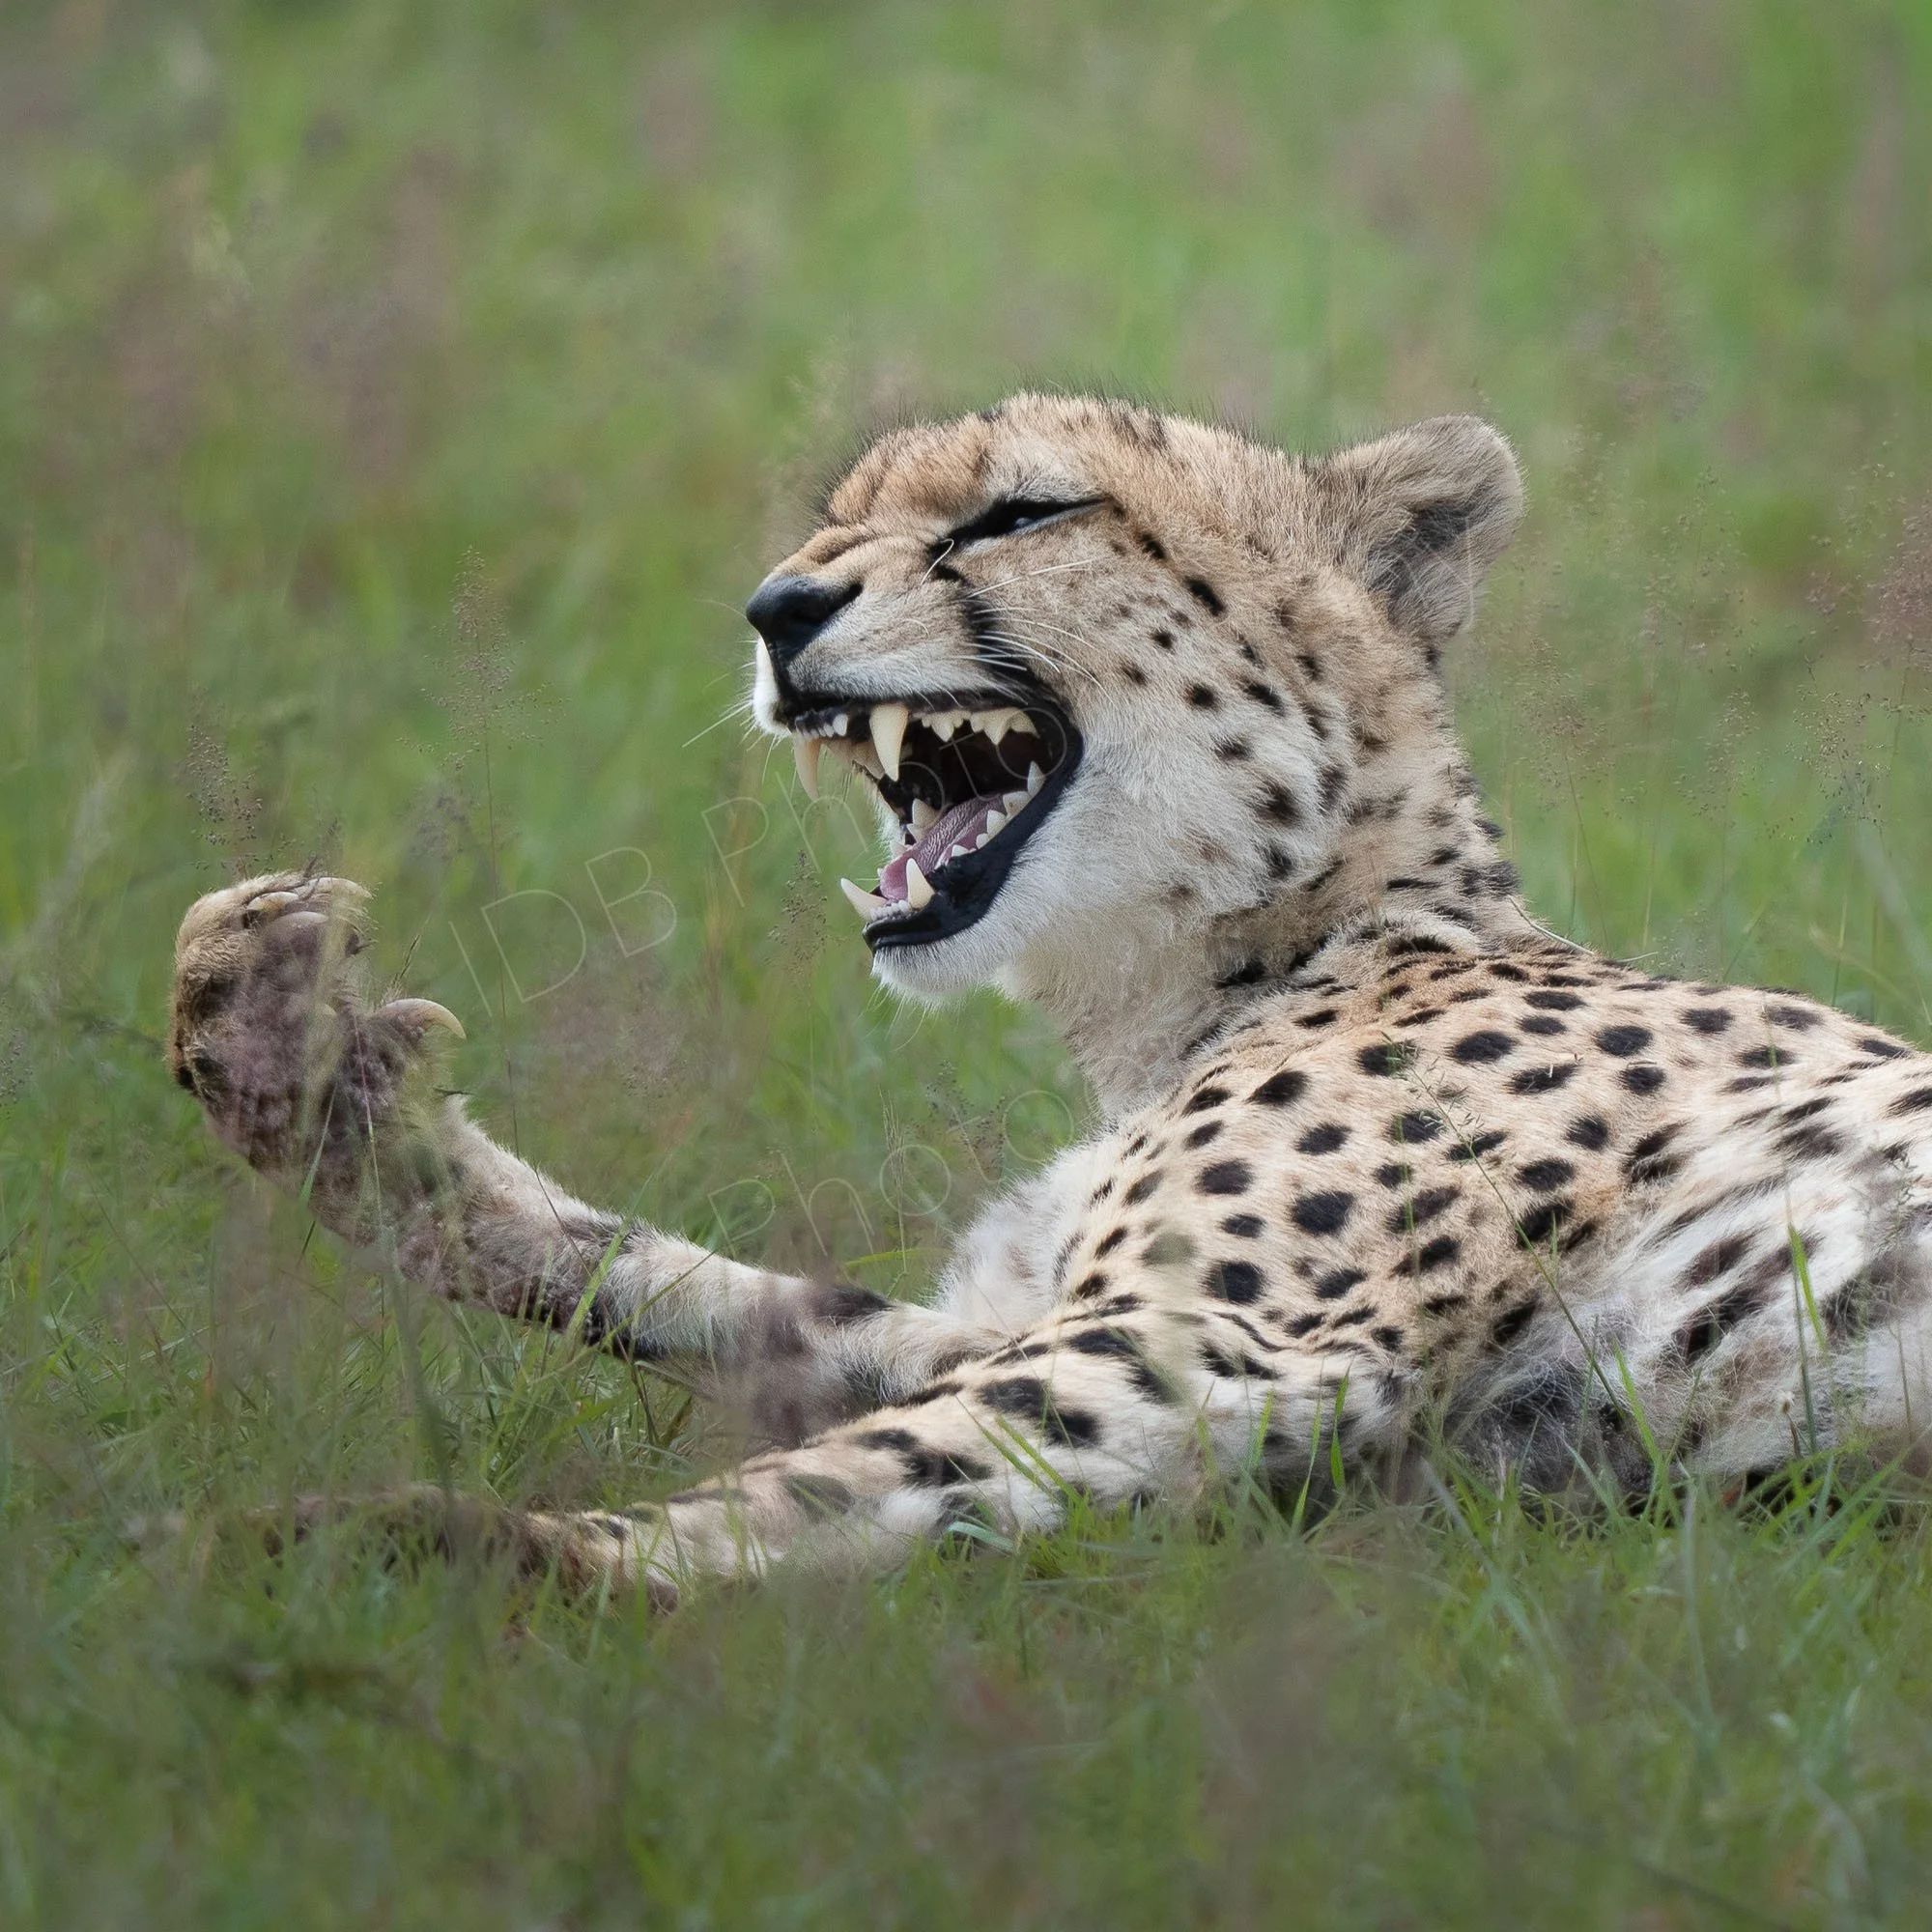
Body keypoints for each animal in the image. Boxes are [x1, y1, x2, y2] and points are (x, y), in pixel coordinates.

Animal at [168, 393, 1932, 1607]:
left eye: (1017, 513)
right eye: (836, 524)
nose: (776, 610)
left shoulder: (1230, 1348)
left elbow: (830, 1474)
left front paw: (432, 1553)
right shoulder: (1178, 1366)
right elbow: (773, 1318)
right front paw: (301, 1068)